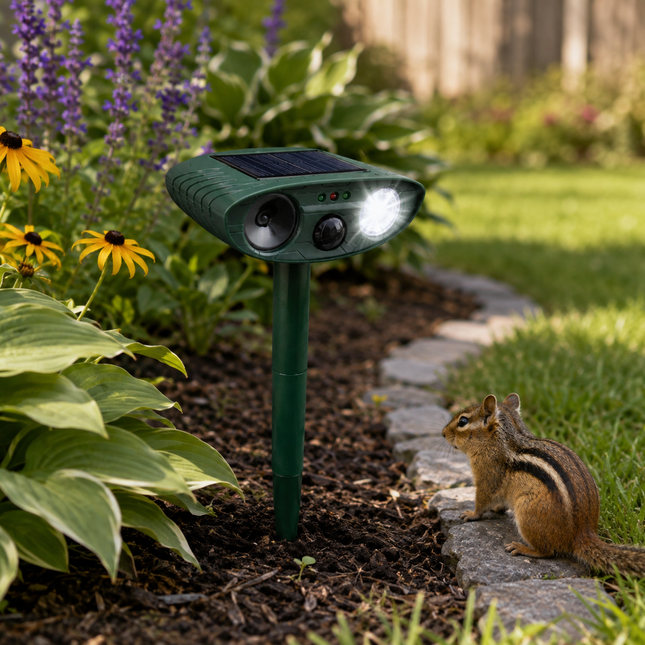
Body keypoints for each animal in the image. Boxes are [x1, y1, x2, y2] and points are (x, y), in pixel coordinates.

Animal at [442, 392, 645, 577]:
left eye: (463, 421)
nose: (443, 433)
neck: (500, 441)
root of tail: (583, 533)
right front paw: (497, 509)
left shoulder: (487, 475)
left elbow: (482, 499)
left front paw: (471, 514)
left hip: (527, 511)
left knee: (548, 551)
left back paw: (522, 548)